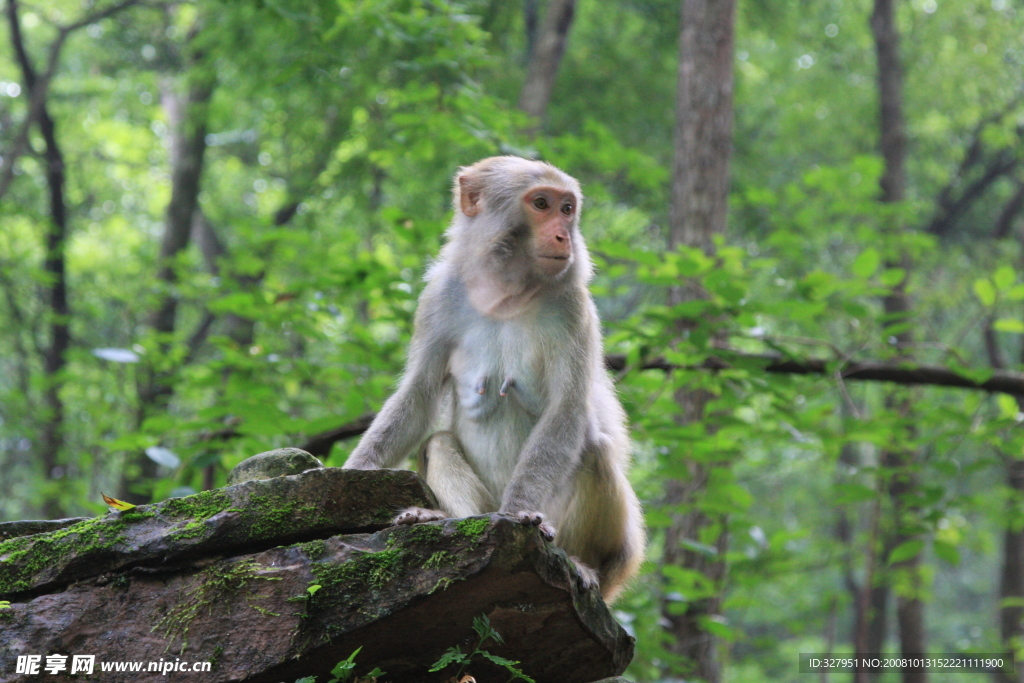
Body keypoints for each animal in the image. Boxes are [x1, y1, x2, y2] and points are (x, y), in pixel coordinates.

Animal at [346, 156, 647, 602]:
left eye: (567, 209)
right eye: (541, 204)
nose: (563, 235)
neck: (506, 293)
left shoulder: (573, 306)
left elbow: (568, 407)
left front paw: (518, 509)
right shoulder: (439, 298)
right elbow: (419, 393)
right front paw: (356, 471)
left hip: (615, 549)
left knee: (592, 448)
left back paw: (579, 562)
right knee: (438, 442)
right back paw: (436, 517)